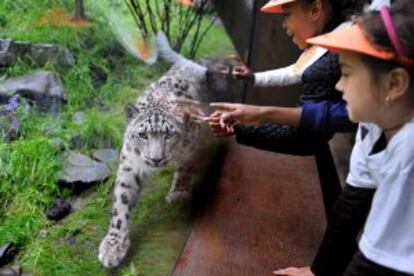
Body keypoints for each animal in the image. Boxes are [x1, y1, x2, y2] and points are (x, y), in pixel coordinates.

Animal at [97, 32, 223, 268]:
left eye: (169, 134)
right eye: (143, 135)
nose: (156, 159)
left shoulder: (191, 148)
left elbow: (186, 167)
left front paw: (178, 193)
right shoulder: (130, 164)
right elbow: (121, 201)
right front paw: (114, 245)